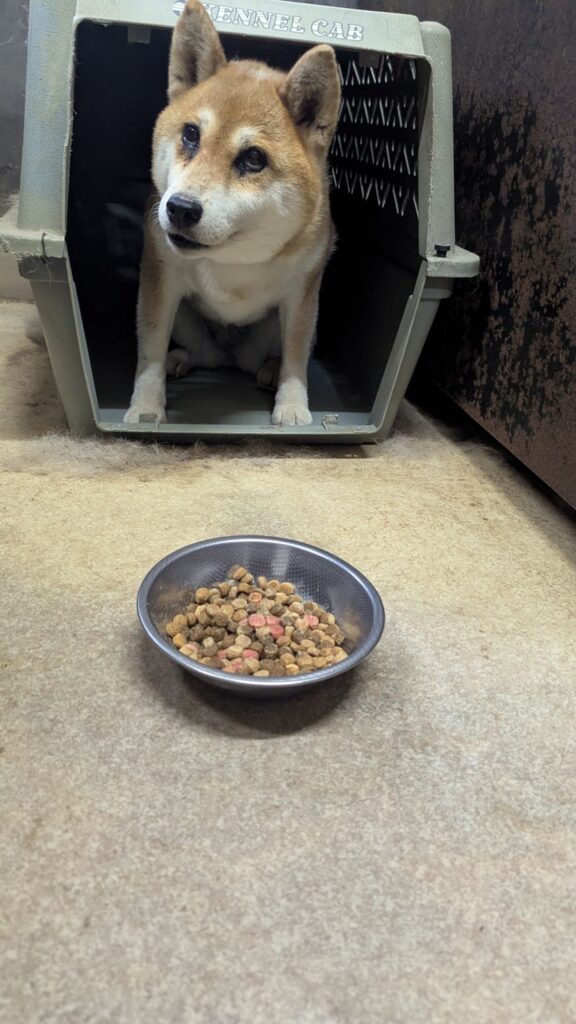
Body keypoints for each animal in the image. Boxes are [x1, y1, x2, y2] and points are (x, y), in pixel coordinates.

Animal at [124, 0, 341, 428]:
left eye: (253, 158)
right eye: (191, 134)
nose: (180, 208)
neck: (234, 260)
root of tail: (230, 359)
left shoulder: (302, 294)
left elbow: (296, 358)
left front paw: (292, 405)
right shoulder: (161, 281)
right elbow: (149, 352)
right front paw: (145, 407)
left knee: (276, 355)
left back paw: (269, 370)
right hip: (188, 319)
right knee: (198, 354)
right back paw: (181, 359)